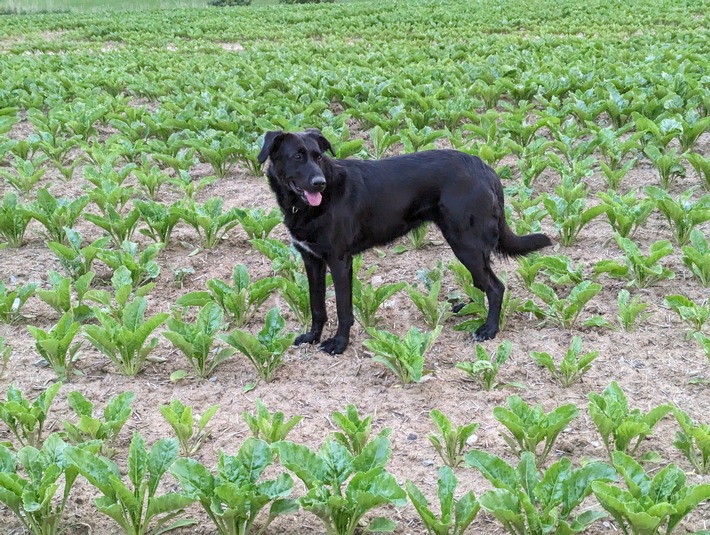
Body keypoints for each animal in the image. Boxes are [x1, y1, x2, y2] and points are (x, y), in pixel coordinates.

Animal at [258, 129, 552, 356]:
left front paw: (339, 344)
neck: (306, 206)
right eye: (297, 156)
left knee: (495, 286)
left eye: (318, 156)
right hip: (466, 245)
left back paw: (489, 329)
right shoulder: (312, 260)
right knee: (484, 282)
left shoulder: (340, 261)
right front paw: (312, 337)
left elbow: (343, 308)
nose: (319, 183)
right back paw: (467, 307)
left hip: (465, 243)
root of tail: (486, 168)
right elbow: (317, 305)